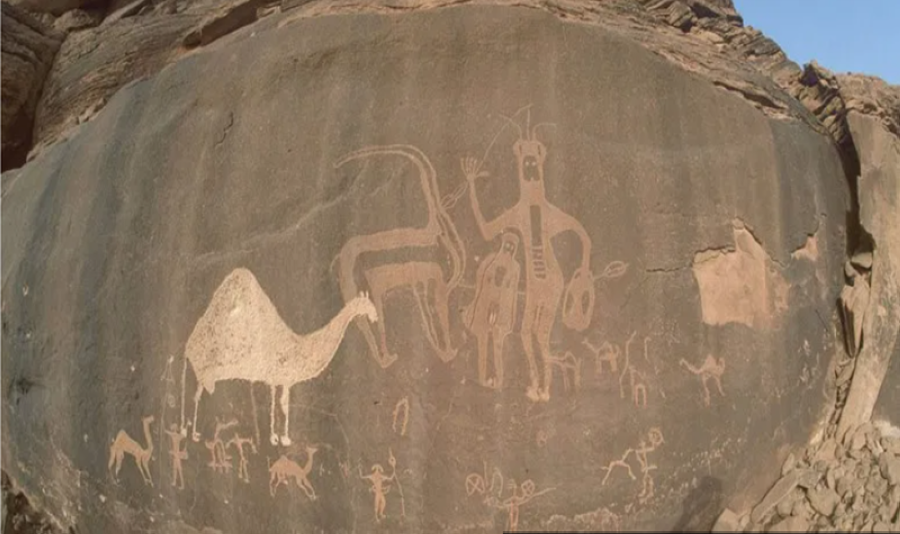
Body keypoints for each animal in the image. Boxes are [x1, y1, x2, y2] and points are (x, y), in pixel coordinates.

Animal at [182, 268, 378, 446]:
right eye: (366, 304)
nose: (375, 317)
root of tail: (188, 346)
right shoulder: (282, 377)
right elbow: (281, 405)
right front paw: (282, 438)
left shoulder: (279, 379)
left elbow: (278, 403)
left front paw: (276, 437)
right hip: (203, 370)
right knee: (196, 395)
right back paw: (192, 433)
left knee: (195, 395)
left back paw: (190, 431)